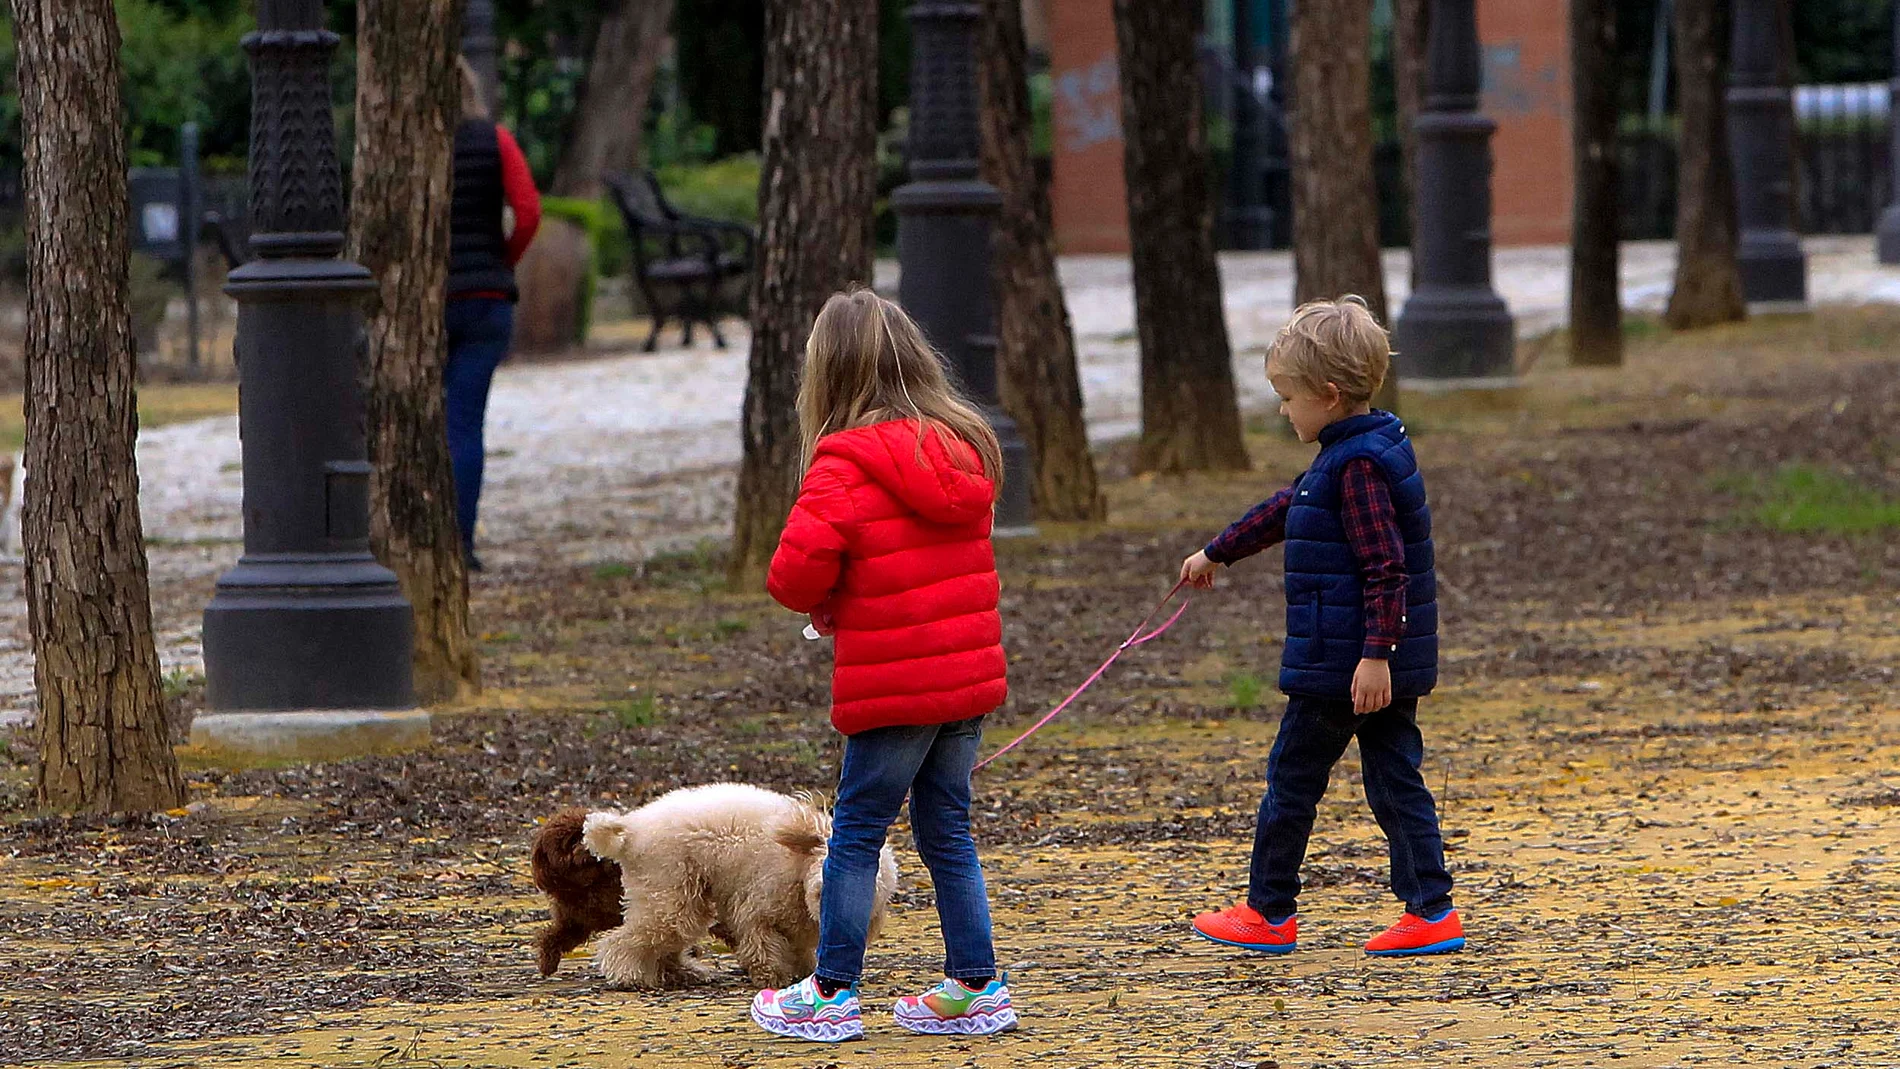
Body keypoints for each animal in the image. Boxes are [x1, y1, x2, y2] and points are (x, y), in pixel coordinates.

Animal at [577, 782, 896, 994]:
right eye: (824, 884)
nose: (825, 908)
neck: (797, 865)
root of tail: (631, 829)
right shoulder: (757, 909)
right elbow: (761, 944)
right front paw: (771, 976)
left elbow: (799, 949)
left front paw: (803, 971)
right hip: (669, 893)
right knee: (625, 940)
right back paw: (628, 975)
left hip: (682, 898)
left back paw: (682, 972)